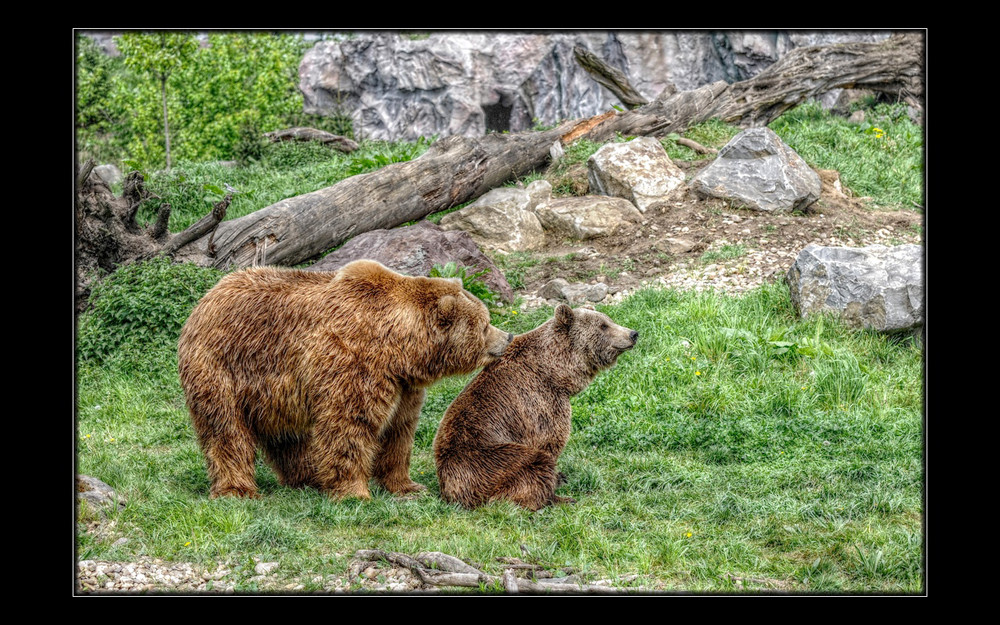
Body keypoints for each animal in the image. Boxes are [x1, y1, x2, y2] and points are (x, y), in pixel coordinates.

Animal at [175, 258, 512, 498]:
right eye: (484, 323)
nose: (507, 337)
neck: (401, 348)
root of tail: (206, 298)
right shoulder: (354, 361)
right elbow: (349, 425)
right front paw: (355, 492)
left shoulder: (402, 385)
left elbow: (399, 432)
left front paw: (407, 486)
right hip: (222, 366)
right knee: (226, 430)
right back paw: (237, 489)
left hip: (273, 393)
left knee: (289, 437)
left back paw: (309, 477)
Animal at [434, 304, 636, 512]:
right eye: (603, 326)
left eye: (609, 319)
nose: (633, 333)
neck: (556, 370)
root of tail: (450, 490)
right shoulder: (540, 403)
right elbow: (550, 441)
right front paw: (557, 482)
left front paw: (560, 476)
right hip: (487, 459)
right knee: (531, 465)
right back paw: (558, 498)